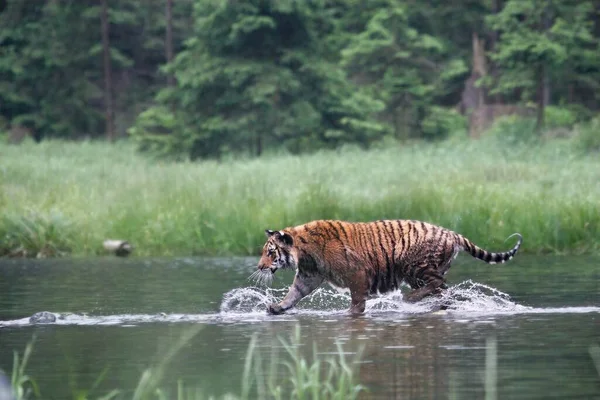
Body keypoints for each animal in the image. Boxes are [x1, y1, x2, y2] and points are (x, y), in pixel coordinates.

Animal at [253, 220, 520, 314]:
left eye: (270, 252)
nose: (259, 266)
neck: (304, 251)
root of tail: (452, 233)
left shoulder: (357, 274)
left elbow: (357, 301)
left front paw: (351, 314)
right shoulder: (308, 276)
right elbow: (293, 294)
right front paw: (277, 307)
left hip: (415, 265)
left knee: (438, 284)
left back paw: (410, 299)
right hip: (418, 272)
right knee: (443, 290)